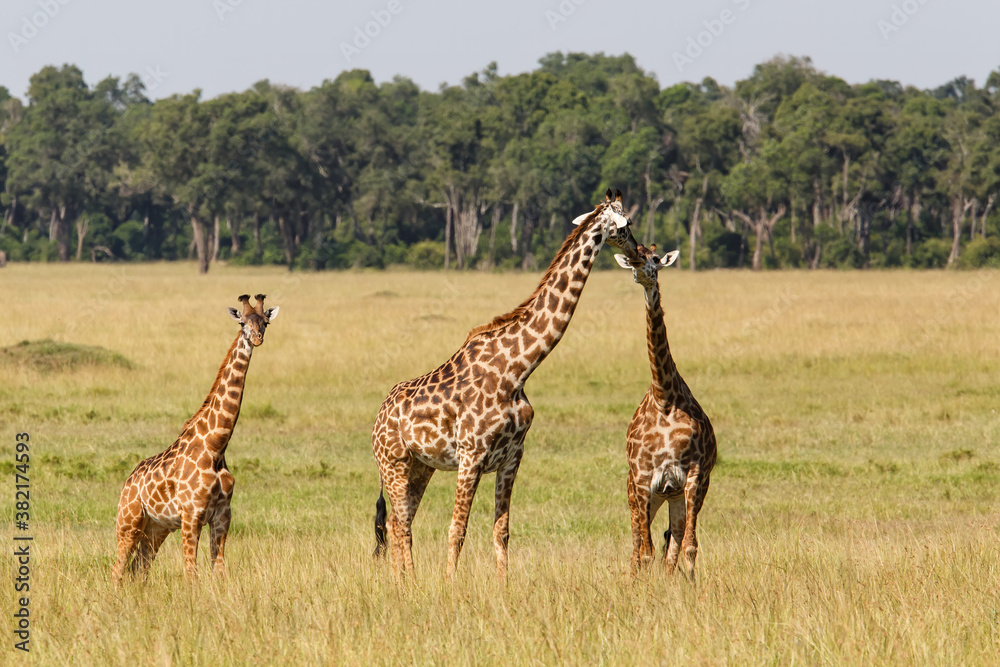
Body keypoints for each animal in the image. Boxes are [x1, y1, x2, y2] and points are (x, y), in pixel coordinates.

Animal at [111, 294, 278, 586]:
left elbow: (219, 569)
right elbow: (191, 573)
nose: (257, 338)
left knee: (139, 568)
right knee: (118, 568)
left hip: (157, 527)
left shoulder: (223, 515)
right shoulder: (191, 515)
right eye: (243, 322)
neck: (216, 446)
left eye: (265, 322)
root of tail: (128, 481)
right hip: (129, 521)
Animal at [372, 190, 640, 581]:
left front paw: (504, 585)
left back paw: (406, 580)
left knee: (396, 521)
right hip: (394, 462)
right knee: (401, 523)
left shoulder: (512, 456)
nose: (638, 250)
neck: (517, 370)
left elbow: (502, 530)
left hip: (421, 467)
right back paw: (406, 582)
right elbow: (458, 528)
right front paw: (451, 584)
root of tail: (378, 417)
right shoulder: (471, 455)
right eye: (628, 224)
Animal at [614, 245, 716, 581]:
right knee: (636, 546)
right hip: (636, 493)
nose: (639, 269)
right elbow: (646, 552)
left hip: (674, 495)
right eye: (634, 254)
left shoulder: (694, 476)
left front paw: (689, 585)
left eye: (655, 259)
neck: (665, 399)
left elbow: (688, 547)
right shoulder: (644, 478)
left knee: (672, 541)